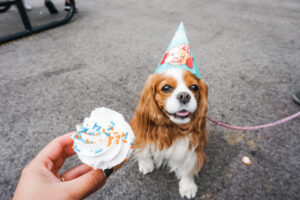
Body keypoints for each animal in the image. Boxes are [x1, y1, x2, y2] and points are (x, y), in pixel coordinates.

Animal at [131, 67, 209, 198]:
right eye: (166, 88)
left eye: (194, 87)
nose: (184, 96)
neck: (173, 127)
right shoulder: (142, 129)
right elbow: (144, 147)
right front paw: (146, 163)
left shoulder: (191, 145)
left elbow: (187, 167)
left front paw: (187, 186)